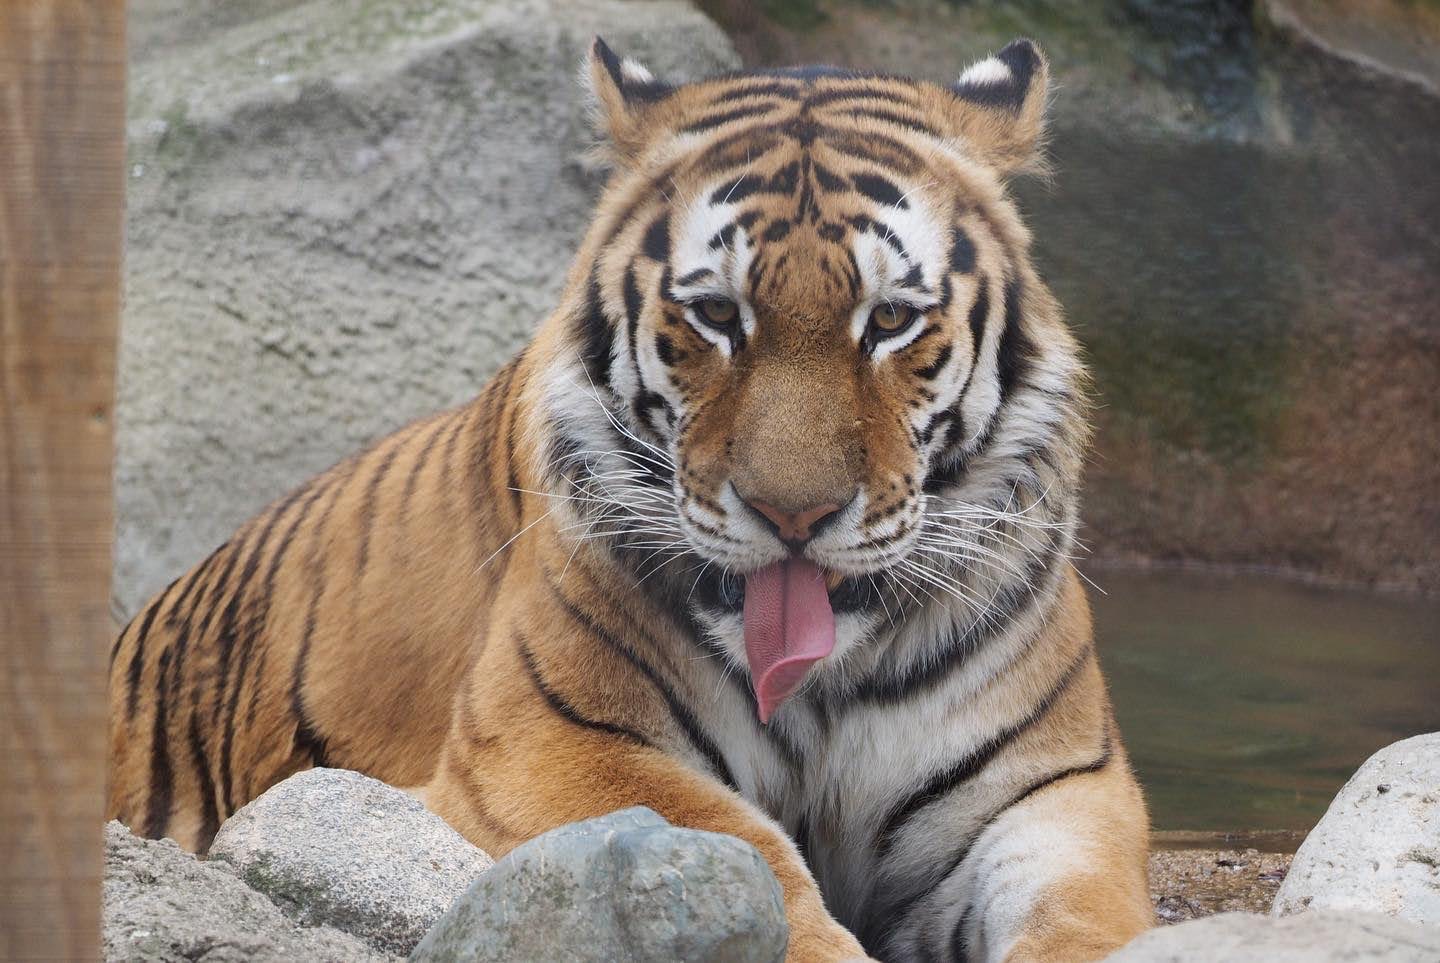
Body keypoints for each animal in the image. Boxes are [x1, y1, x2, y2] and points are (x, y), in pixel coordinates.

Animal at [108, 36, 1154, 962]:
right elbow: (746, 854)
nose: (795, 516)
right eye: (718, 314)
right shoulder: (550, 747)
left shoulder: (1051, 786)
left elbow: (1084, 911)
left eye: (890, 319)